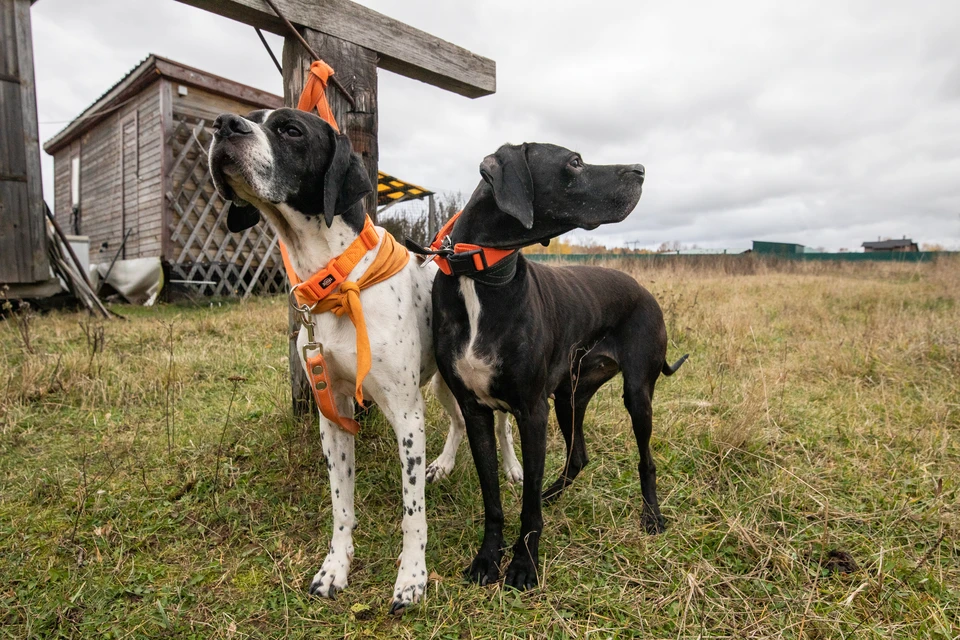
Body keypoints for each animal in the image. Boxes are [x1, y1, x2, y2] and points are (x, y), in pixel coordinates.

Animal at [432, 144, 688, 592]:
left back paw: (652, 517)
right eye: (574, 162)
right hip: (570, 395)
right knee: (578, 456)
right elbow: (492, 498)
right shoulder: (475, 411)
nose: (641, 169)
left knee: (646, 459)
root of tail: (643, 290)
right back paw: (554, 494)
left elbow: (528, 506)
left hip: (636, 393)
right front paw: (486, 559)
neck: (479, 275)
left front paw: (523, 565)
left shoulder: (532, 412)